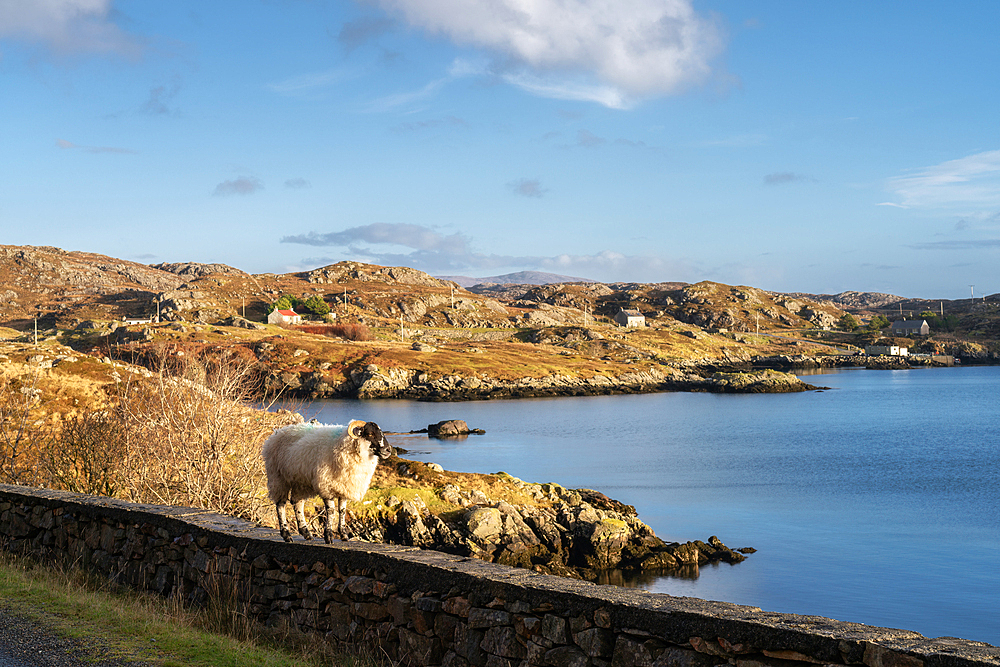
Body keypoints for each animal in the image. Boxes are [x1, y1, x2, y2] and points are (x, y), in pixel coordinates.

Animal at [260, 422, 392, 544]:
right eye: (370, 434)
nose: (389, 450)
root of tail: (276, 434)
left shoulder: (344, 486)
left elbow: (342, 510)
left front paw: (344, 535)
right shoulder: (326, 485)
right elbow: (331, 511)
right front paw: (328, 536)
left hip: (300, 482)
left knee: (297, 503)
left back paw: (306, 533)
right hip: (278, 478)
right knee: (281, 505)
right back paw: (287, 535)